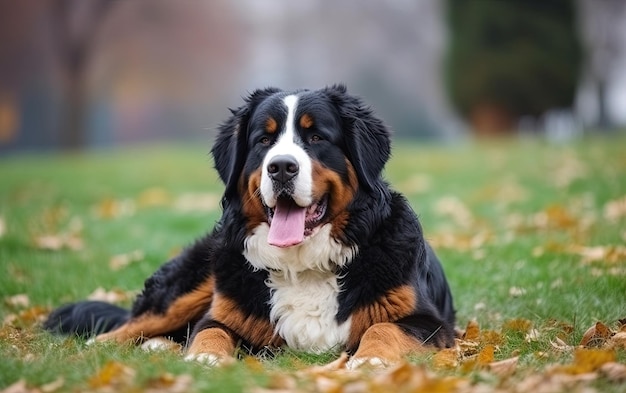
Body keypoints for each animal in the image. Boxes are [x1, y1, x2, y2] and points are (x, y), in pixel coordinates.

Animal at [45, 83, 454, 368]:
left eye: (316, 137)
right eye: (264, 140)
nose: (282, 167)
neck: (303, 265)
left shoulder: (431, 323)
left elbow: (383, 327)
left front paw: (372, 359)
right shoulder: (224, 314)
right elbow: (210, 330)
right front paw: (204, 358)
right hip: (193, 280)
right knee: (131, 326)